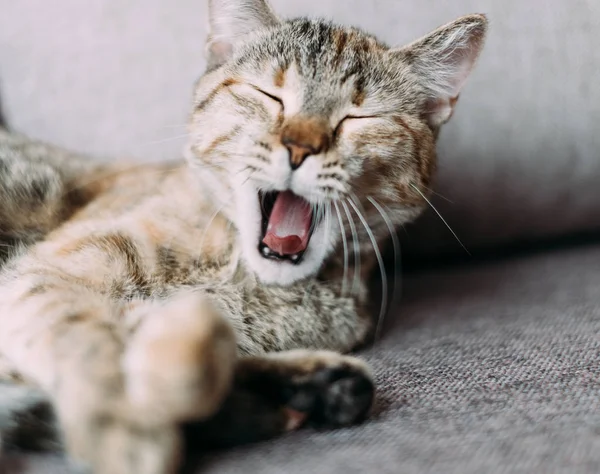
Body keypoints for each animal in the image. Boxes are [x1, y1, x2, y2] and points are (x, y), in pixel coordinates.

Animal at [0, 1, 488, 472]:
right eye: (270, 95)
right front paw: (126, 424)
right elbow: (91, 341)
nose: (299, 147)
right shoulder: (44, 276)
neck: (246, 281)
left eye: (356, 117)